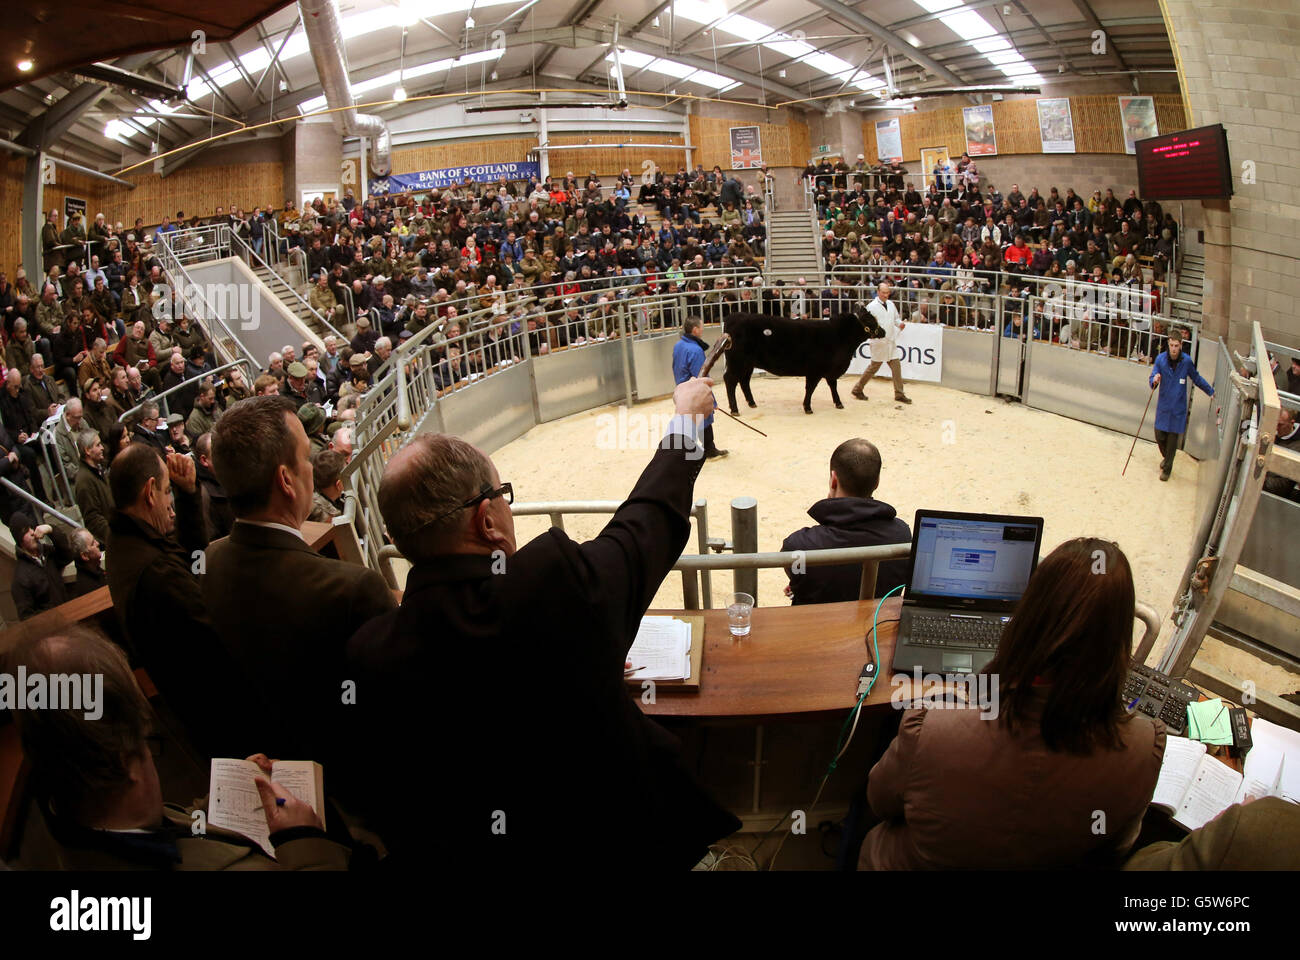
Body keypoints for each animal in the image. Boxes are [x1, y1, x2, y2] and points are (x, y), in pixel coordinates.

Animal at [717, 306, 889, 411]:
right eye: (870, 320)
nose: (883, 331)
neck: (838, 336)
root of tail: (734, 316)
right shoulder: (815, 370)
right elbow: (811, 388)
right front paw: (807, 407)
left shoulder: (830, 370)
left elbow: (832, 386)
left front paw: (838, 403)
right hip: (737, 362)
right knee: (730, 380)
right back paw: (734, 409)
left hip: (747, 364)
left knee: (744, 381)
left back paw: (752, 403)